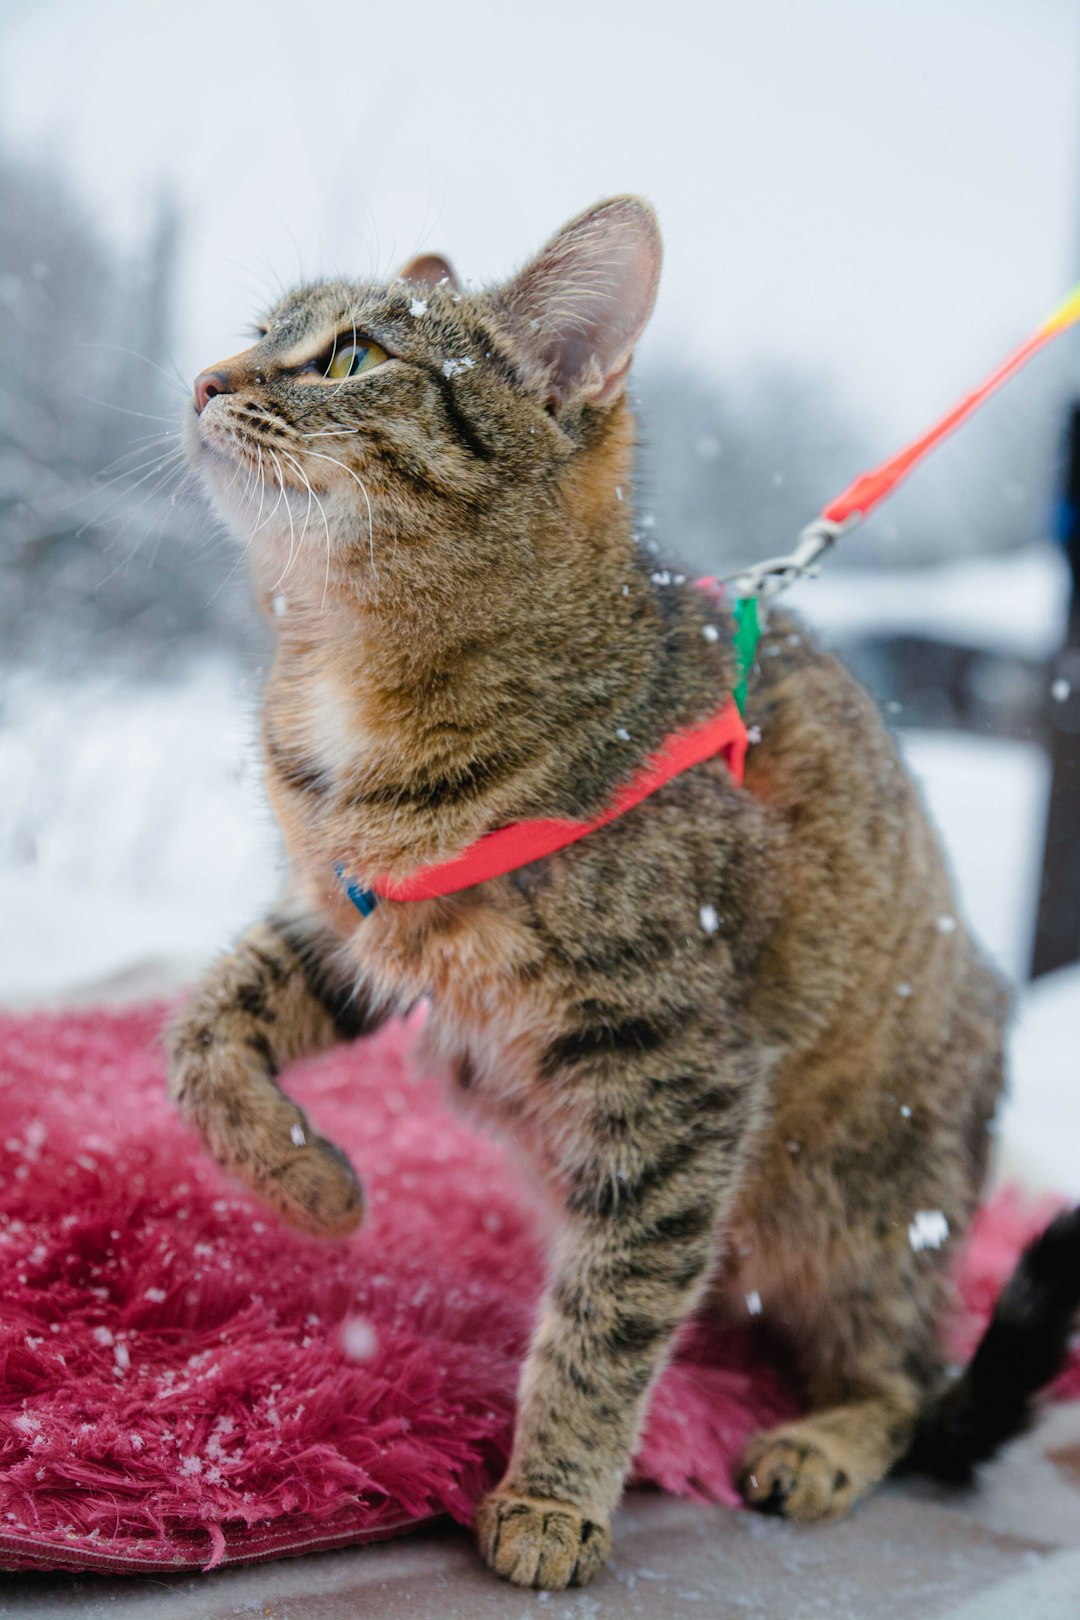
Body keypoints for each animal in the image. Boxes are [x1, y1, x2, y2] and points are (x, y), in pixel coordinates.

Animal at [169, 196, 1080, 1587]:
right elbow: (201, 1031)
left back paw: (819, 1440)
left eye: (352, 356)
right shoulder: (358, 921)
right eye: (259, 334)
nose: (206, 378)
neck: (355, 673)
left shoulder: (677, 1072)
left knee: (910, 1384)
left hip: (856, 1202)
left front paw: (553, 1495)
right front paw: (309, 1182)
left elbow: (611, 1312)